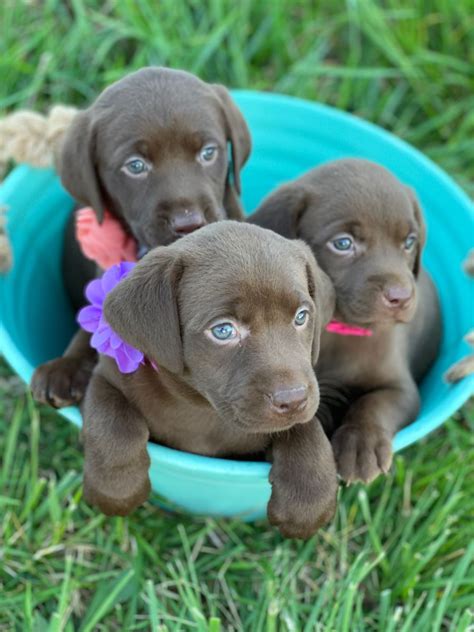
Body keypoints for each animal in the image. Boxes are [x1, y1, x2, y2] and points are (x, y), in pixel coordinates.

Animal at [81, 222, 336, 540]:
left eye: (301, 316)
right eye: (223, 330)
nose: (293, 399)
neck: (204, 408)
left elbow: (306, 430)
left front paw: (309, 501)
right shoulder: (107, 377)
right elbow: (112, 423)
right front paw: (116, 489)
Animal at [250, 159, 442, 484]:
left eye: (409, 241)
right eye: (343, 243)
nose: (401, 297)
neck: (340, 329)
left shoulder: (401, 388)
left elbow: (374, 404)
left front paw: (361, 445)